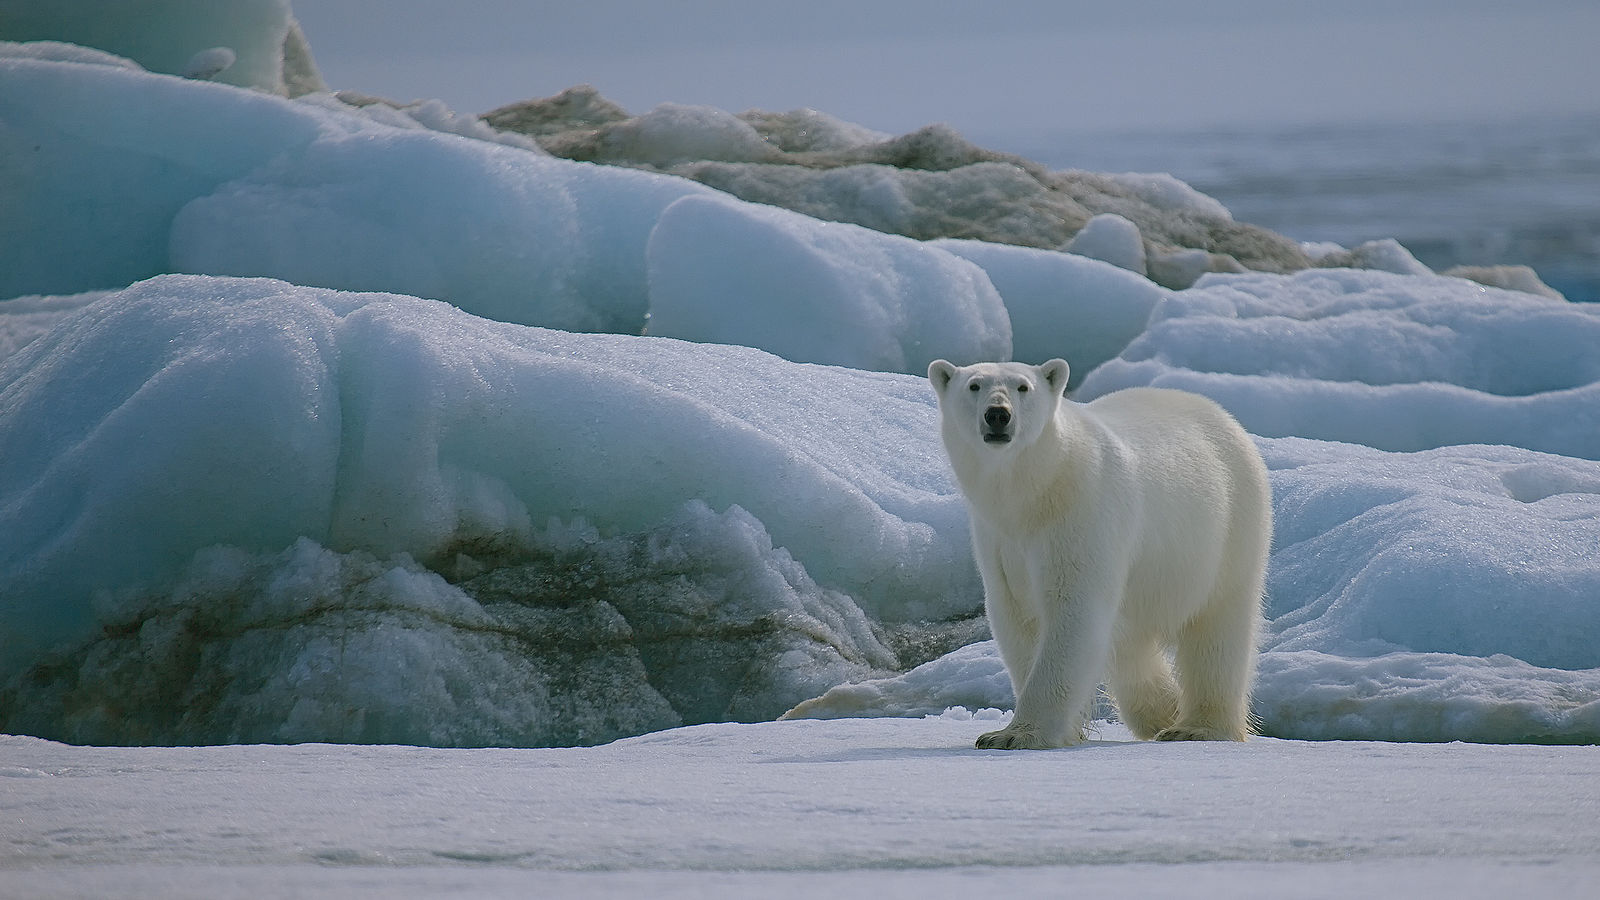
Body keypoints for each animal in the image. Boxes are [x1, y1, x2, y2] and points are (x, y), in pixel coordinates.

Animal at [934, 353, 1267, 746]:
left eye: (1022, 386)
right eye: (974, 385)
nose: (998, 414)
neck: (1037, 491)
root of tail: (1220, 414)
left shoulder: (1082, 517)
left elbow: (1074, 611)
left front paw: (1016, 734)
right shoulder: (998, 540)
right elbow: (1017, 621)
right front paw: (1052, 731)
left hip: (1228, 528)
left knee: (1218, 626)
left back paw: (1196, 726)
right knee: (1130, 644)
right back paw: (1161, 712)